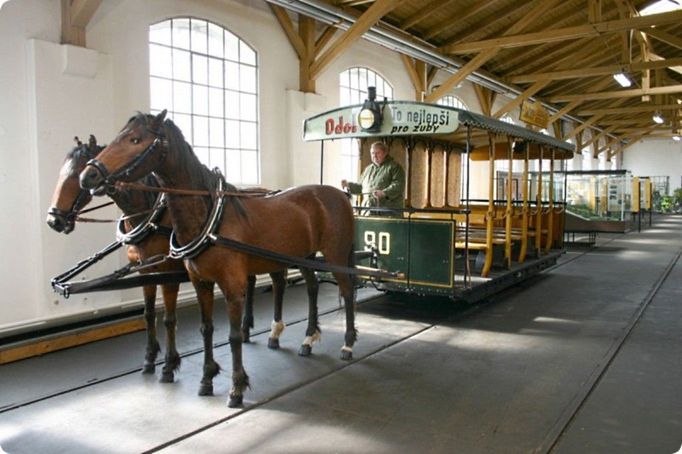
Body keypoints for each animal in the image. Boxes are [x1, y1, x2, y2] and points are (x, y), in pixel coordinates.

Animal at [45, 135, 294, 384]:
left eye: (76, 176)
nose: (53, 220)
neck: (150, 215)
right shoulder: (146, 271)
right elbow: (148, 314)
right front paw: (149, 358)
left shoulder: (168, 273)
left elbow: (169, 319)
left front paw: (169, 365)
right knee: (251, 283)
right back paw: (245, 328)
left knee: (278, 282)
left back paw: (274, 333)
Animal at [79, 111, 356, 408]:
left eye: (135, 139)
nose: (88, 174)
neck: (212, 216)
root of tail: (340, 194)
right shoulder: (201, 283)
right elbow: (206, 329)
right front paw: (207, 378)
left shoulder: (232, 286)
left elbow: (233, 337)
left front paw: (236, 388)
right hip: (305, 257)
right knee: (313, 287)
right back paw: (308, 338)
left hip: (336, 255)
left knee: (347, 291)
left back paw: (348, 343)